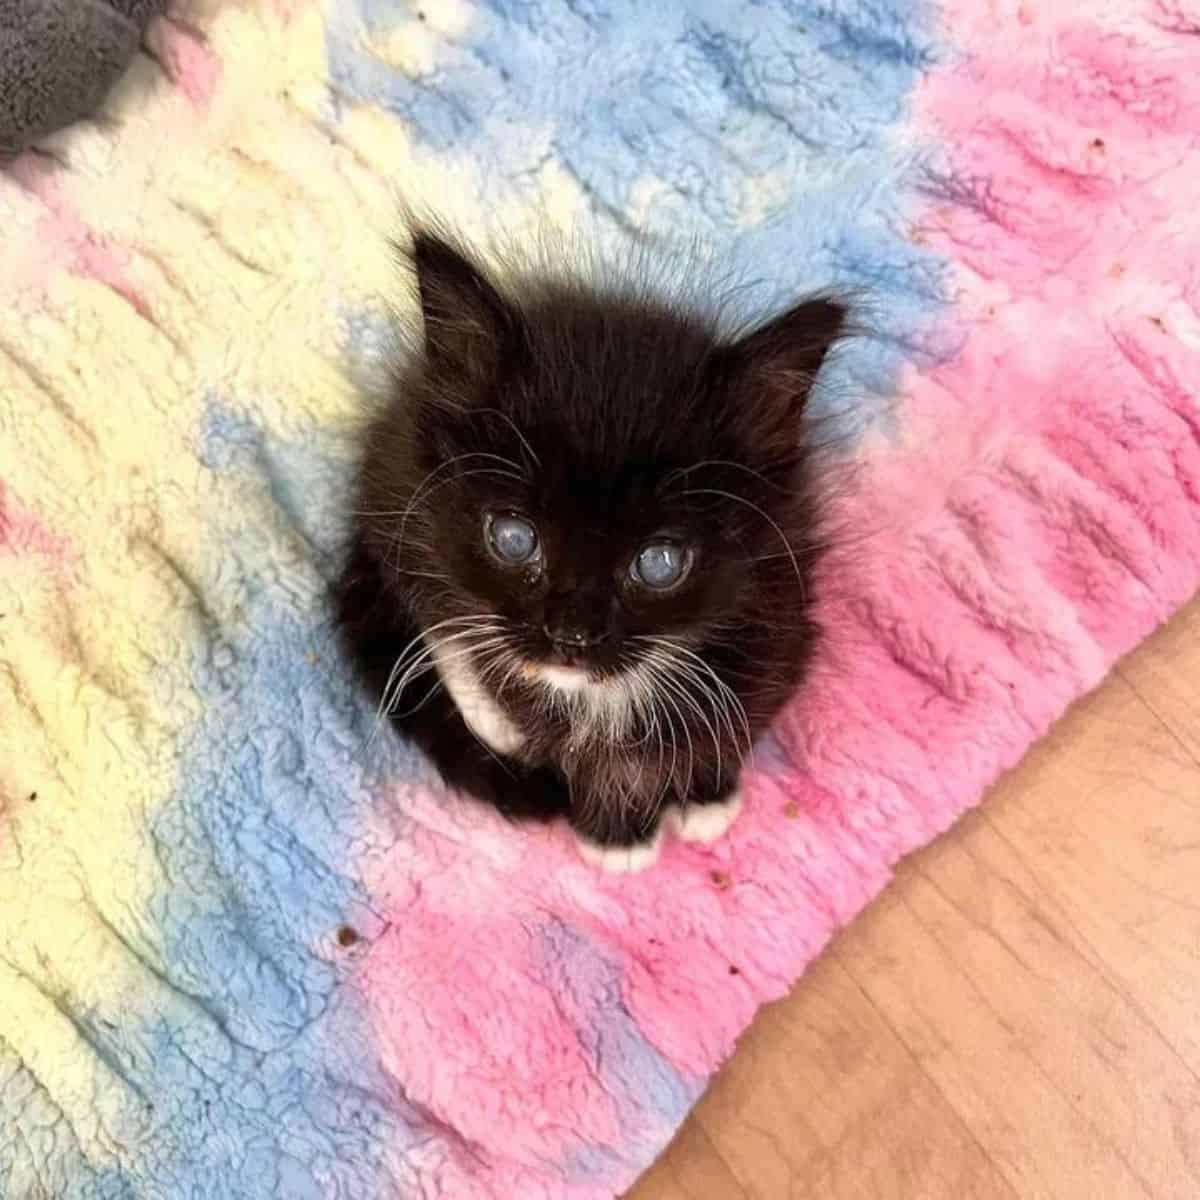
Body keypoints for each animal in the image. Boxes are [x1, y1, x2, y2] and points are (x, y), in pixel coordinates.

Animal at [333, 225, 849, 868]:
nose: (570, 635)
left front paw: (705, 793)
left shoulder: (782, 610)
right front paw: (615, 832)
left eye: (659, 563)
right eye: (513, 538)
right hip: (401, 493)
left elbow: (740, 715)